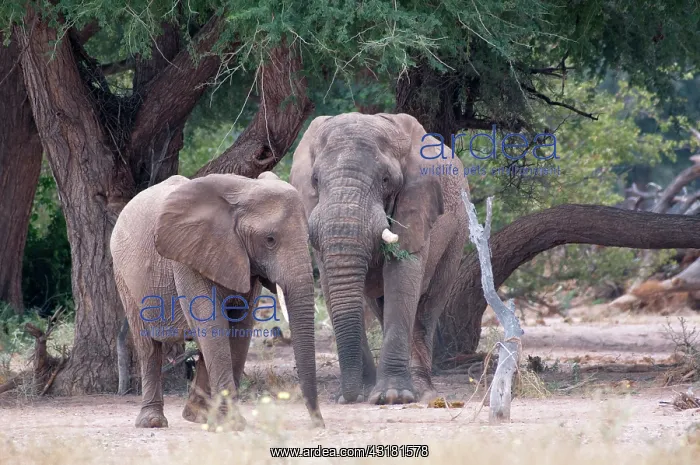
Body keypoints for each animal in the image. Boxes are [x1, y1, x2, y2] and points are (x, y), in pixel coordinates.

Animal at [110, 171, 324, 429]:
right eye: (270, 240)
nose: (319, 424)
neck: (244, 188)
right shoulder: (187, 254)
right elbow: (212, 324)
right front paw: (233, 425)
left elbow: (239, 327)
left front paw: (223, 421)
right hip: (123, 275)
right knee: (149, 347)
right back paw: (153, 422)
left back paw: (197, 417)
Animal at [289, 113, 468, 405]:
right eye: (315, 180)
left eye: (385, 180)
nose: (348, 397)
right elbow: (330, 284)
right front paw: (357, 395)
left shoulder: (416, 205)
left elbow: (402, 275)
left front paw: (392, 396)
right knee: (380, 305)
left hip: (458, 233)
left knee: (428, 308)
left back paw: (423, 391)